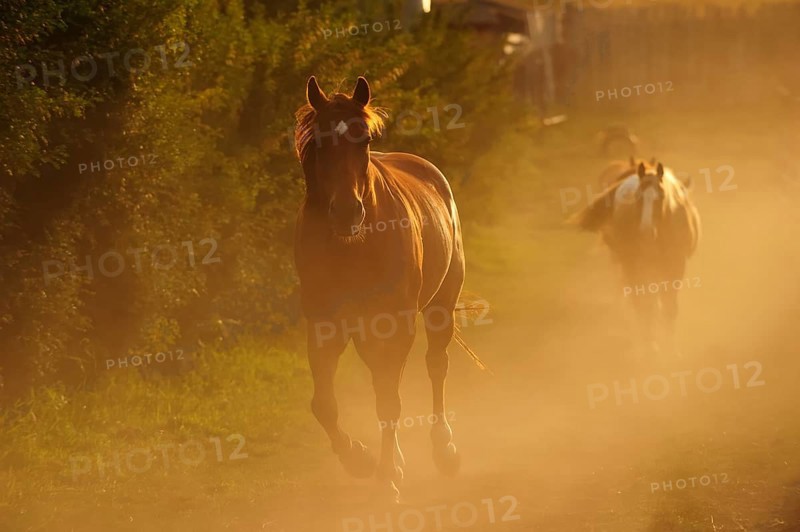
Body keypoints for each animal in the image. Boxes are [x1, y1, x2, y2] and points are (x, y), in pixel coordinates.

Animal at [293, 76, 465, 502]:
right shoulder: (325, 327)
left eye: (365, 140)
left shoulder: (395, 324)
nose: (346, 212)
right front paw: (361, 460)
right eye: (320, 140)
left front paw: (386, 476)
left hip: (441, 305)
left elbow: (389, 401)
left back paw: (444, 451)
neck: (353, 247)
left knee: (435, 366)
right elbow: (324, 404)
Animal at [574, 160, 701, 355]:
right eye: (638, 197)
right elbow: (646, 305)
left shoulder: (676, 266)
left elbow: (670, 308)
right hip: (633, 266)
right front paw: (651, 347)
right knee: (641, 304)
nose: (646, 232)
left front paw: (671, 349)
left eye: (661, 197)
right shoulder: (635, 267)